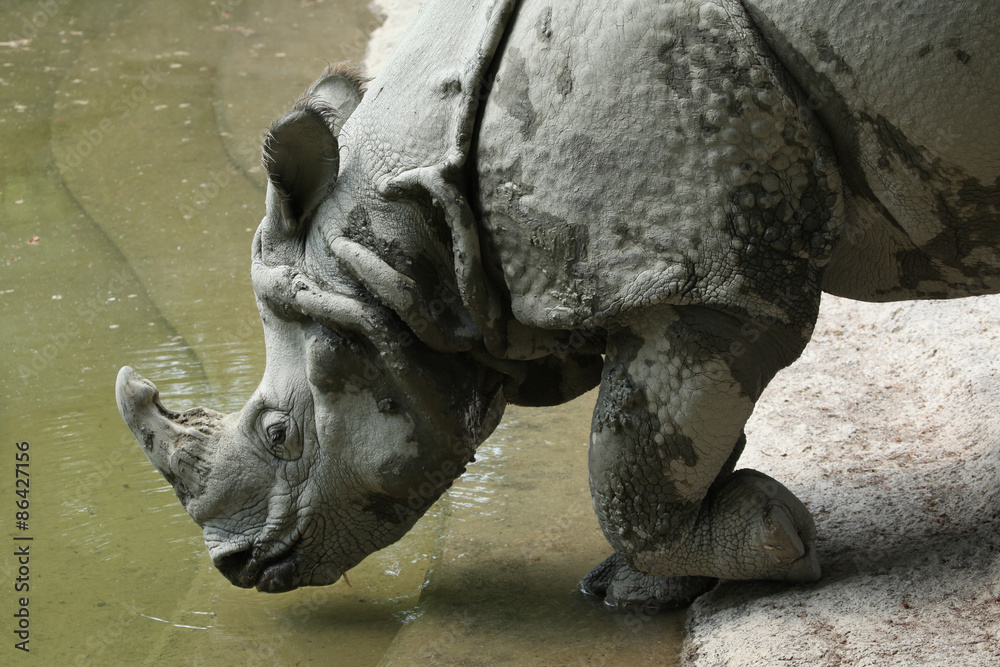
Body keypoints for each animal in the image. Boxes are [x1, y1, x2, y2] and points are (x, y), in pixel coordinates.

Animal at [116, 0, 999, 607]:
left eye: (278, 433)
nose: (235, 566)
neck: (401, 244)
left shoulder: (701, 275)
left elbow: (627, 467)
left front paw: (773, 536)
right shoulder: (684, 251)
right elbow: (664, 446)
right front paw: (652, 582)